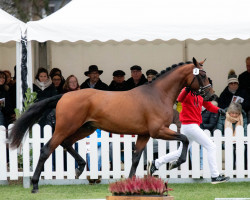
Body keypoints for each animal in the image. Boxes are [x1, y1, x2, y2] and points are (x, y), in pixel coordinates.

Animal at [9, 57, 213, 193]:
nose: (211, 96)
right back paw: (35, 185)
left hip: (86, 128)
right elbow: (184, 139)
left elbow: (136, 158)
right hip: (65, 127)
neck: (157, 94)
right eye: (202, 75)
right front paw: (175, 163)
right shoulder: (158, 131)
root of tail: (65, 95)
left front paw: (131, 184)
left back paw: (80, 167)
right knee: (47, 149)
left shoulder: (145, 134)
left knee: (66, 143)